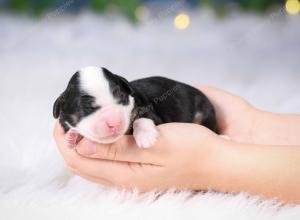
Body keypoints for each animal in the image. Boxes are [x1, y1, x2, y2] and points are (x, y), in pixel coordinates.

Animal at [52, 66, 218, 149]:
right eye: (87, 108)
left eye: (121, 98)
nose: (114, 123)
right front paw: (72, 137)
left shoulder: (147, 110)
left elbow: (141, 118)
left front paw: (146, 137)